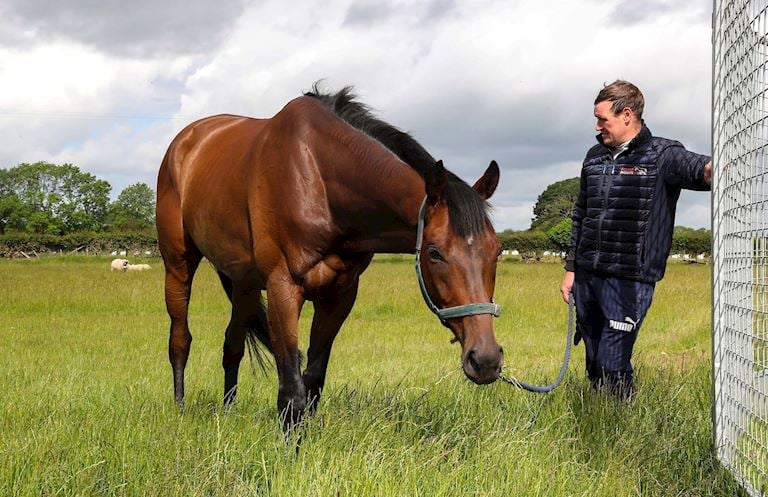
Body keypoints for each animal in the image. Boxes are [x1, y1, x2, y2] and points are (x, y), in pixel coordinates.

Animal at [156, 86, 504, 430]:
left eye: (497, 250)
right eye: (434, 253)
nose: (486, 359)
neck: (318, 178)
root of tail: (186, 142)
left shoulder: (339, 294)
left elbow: (313, 380)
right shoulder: (284, 289)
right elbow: (291, 393)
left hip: (244, 284)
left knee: (233, 345)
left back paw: (227, 412)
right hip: (178, 267)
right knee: (180, 340)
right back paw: (179, 411)